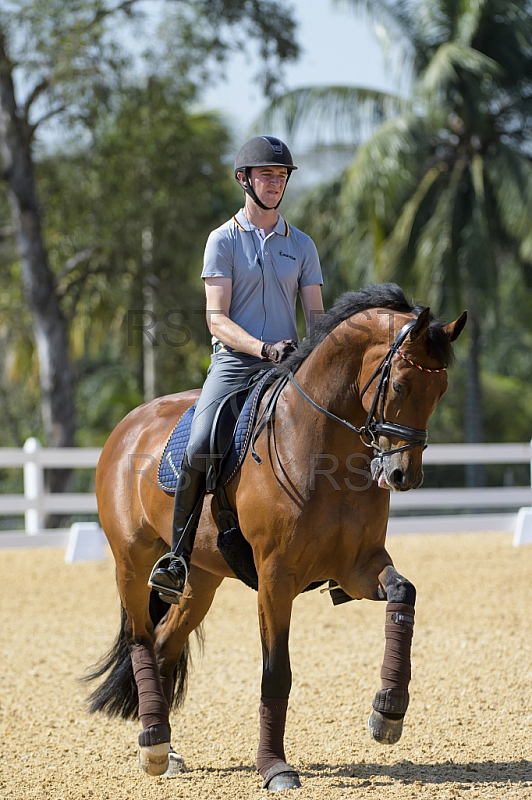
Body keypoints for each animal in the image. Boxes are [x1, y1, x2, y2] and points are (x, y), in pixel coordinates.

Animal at [86, 282, 466, 788]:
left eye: (440, 390)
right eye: (401, 385)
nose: (404, 475)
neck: (323, 449)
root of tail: (129, 423)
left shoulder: (359, 566)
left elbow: (405, 593)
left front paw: (388, 713)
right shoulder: (275, 577)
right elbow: (275, 672)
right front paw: (275, 766)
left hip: (200, 578)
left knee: (166, 644)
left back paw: (166, 747)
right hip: (132, 562)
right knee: (141, 642)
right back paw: (151, 747)